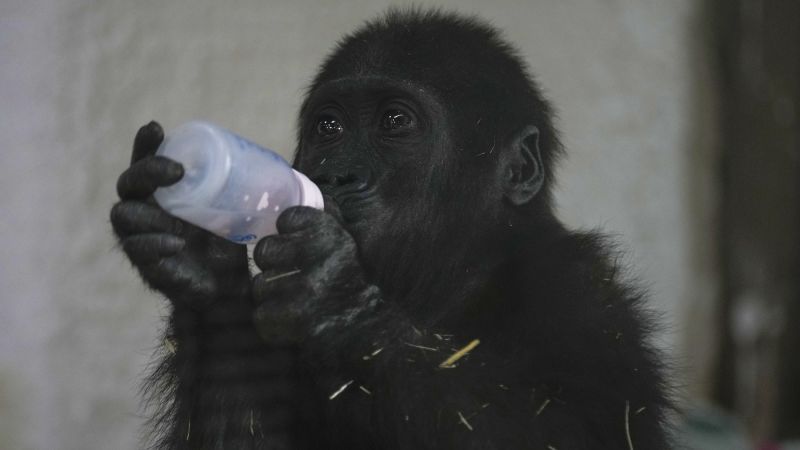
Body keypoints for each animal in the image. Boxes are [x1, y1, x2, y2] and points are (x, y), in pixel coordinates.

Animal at [112, 7, 672, 450]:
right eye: (329, 127)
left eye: (395, 122)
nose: (337, 175)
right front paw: (202, 260)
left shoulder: (581, 296)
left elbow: (563, 435)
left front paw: (336, 301)